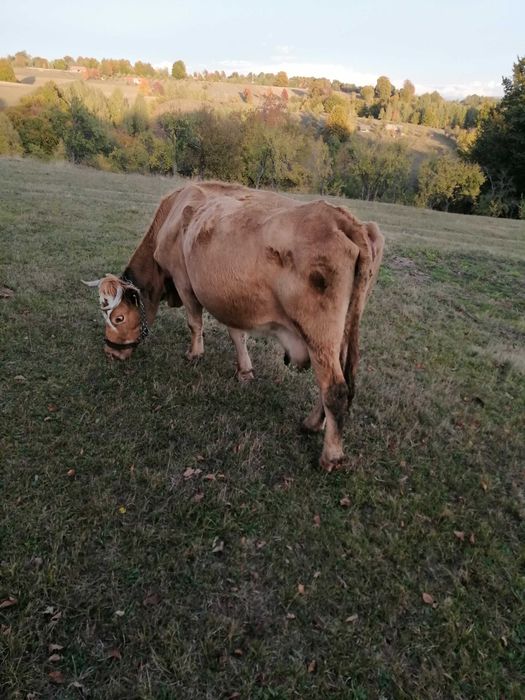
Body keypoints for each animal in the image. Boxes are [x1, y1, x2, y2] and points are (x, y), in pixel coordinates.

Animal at [84, 182, 384, 471]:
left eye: (118, 318)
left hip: (319, 334)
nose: (110, 351)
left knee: (335, 388)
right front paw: (244, 370)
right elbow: (237, 334)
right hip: (341, 333)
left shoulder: (183, 280)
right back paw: (313, 423)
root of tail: (343, 219)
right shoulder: (231, 302)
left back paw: (330, 455)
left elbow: (194, 322)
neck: (173, 215)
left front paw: (194, 354)